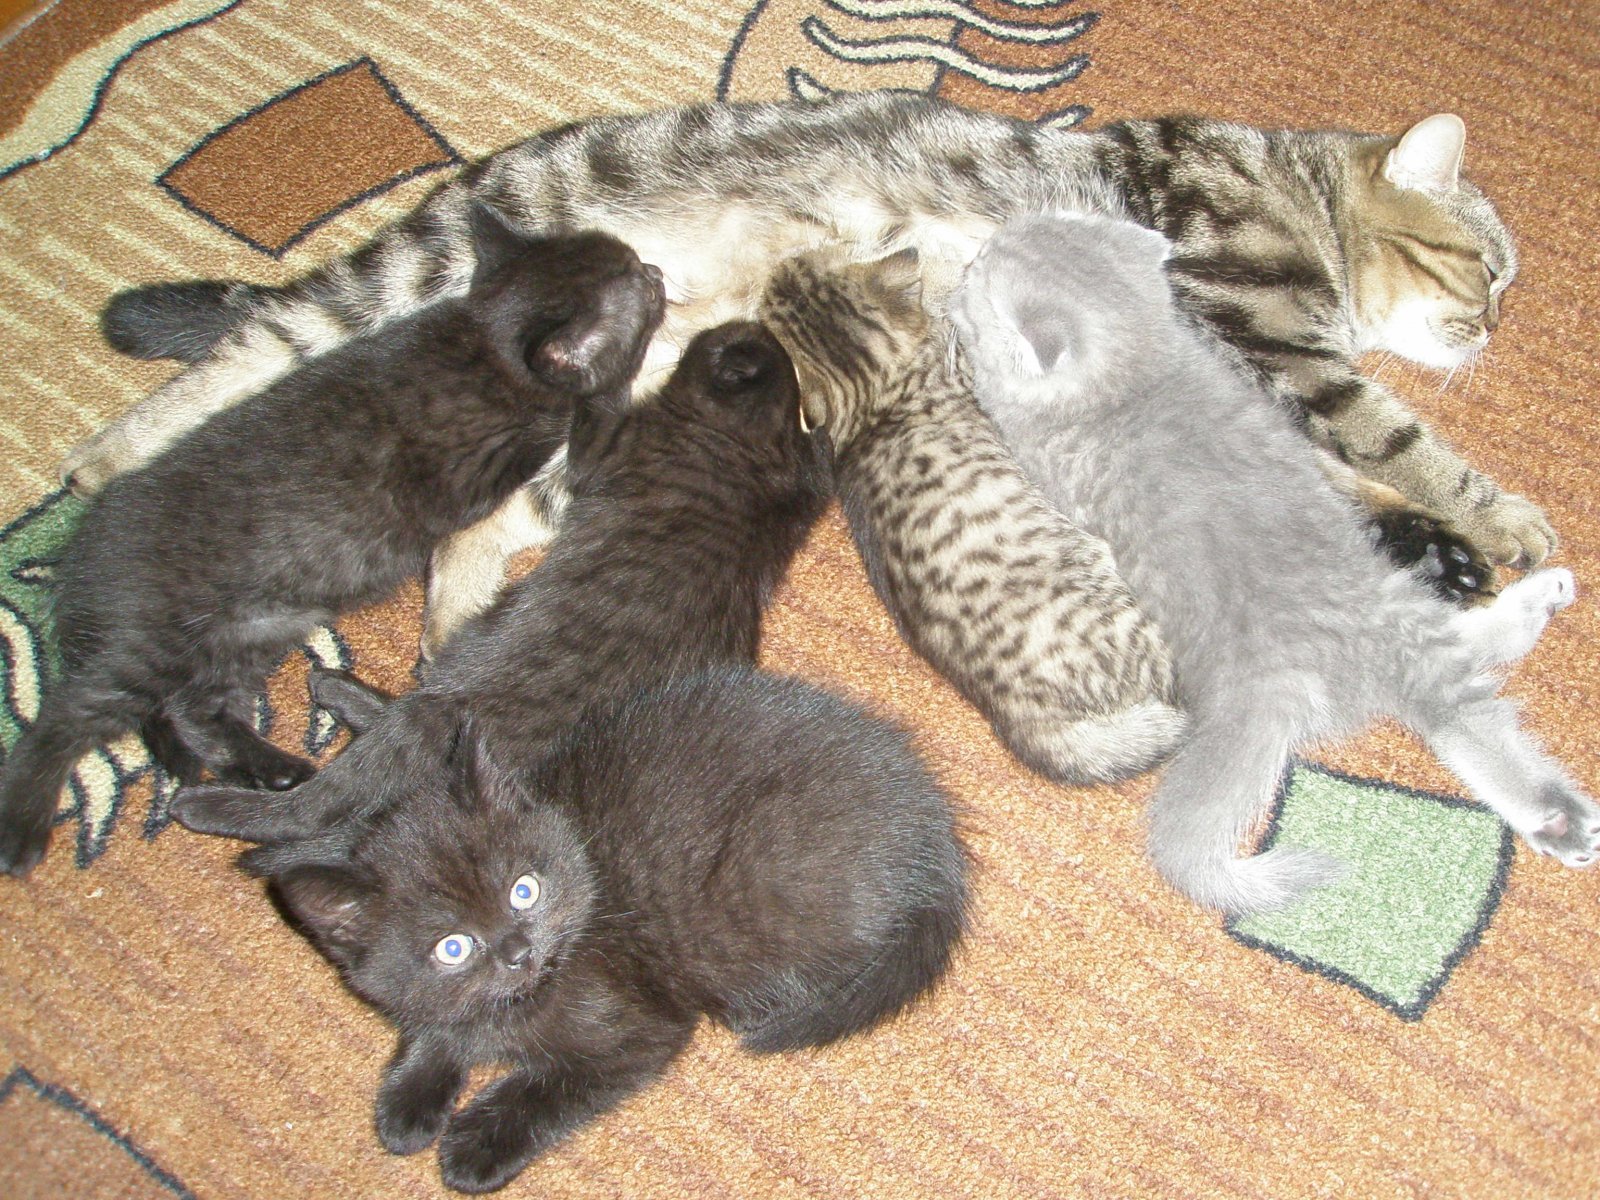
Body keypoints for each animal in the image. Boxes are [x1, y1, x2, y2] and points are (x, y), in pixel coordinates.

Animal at [0, 213, 664, 876]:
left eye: (634, 262)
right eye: (634, 282)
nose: (657, 271)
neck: (485, 340)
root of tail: (79, 564)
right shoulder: (482, 467)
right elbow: (579, 420)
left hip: (253, 634)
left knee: (197, 709)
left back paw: (272, 769)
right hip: (151, 639)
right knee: (68, 718)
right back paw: (25, 824)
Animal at [75, 94, 1542, 656]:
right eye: (1486, 265)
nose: (1497, 320)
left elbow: (1330, 478)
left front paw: (1432, 550)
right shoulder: (1259, 322)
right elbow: (1388, 443)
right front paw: (1501, 524)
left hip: (592, 407)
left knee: (472, 529)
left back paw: (462, 637)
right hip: (418, 271)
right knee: (264, 334)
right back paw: (107, 459)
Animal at [169, 316, 831, 847]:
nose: (726, 324)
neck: (750, 448)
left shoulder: (607, 455)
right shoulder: (800, 486)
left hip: (441, 706)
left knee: (324, 801)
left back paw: (217, 795)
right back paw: (339, 689)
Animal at [184, 664, 969, 1194]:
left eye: (523, 890)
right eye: (452, 947)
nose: (518, 950)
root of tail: (936, 848)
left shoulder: (637, 1029)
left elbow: (554, 1088)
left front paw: (473, 1146)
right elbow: (434, 1026)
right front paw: (410, 1100)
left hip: (769, 890)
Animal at [950, 212, 1597, 916]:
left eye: (987, 266)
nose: (970, 260)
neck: (1139, 370)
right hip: (1390, 584)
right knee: (1469, 656)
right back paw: (1540, 616)